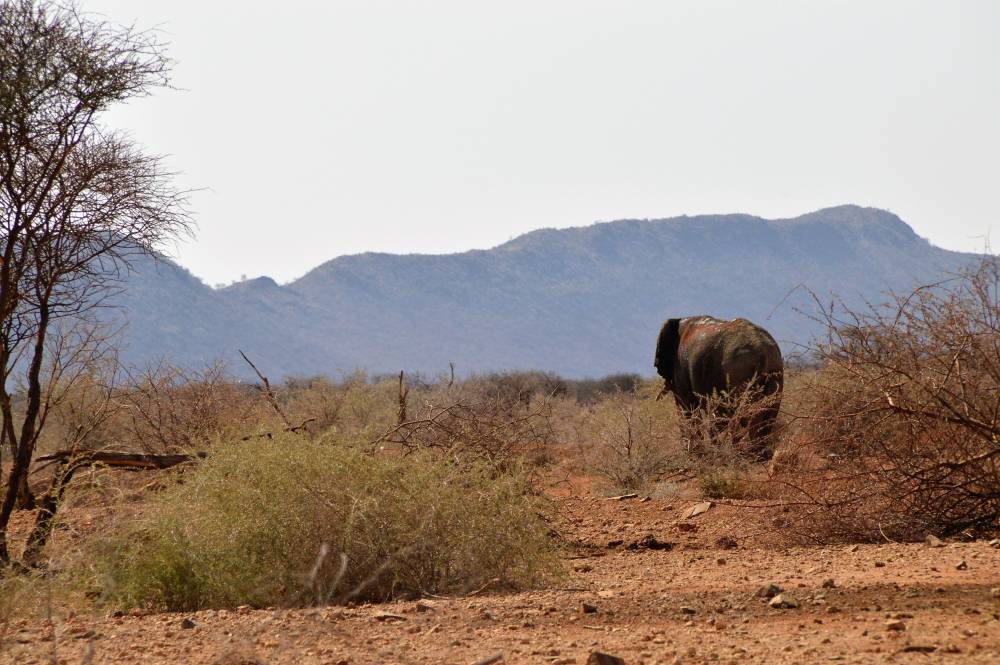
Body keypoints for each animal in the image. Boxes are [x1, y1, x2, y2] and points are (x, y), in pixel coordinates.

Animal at [652, 316, 784, 452]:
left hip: (735, 374)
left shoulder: (680, 367)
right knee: (768, 416)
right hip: (775, 373)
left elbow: (688, 407)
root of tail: (763, 355)